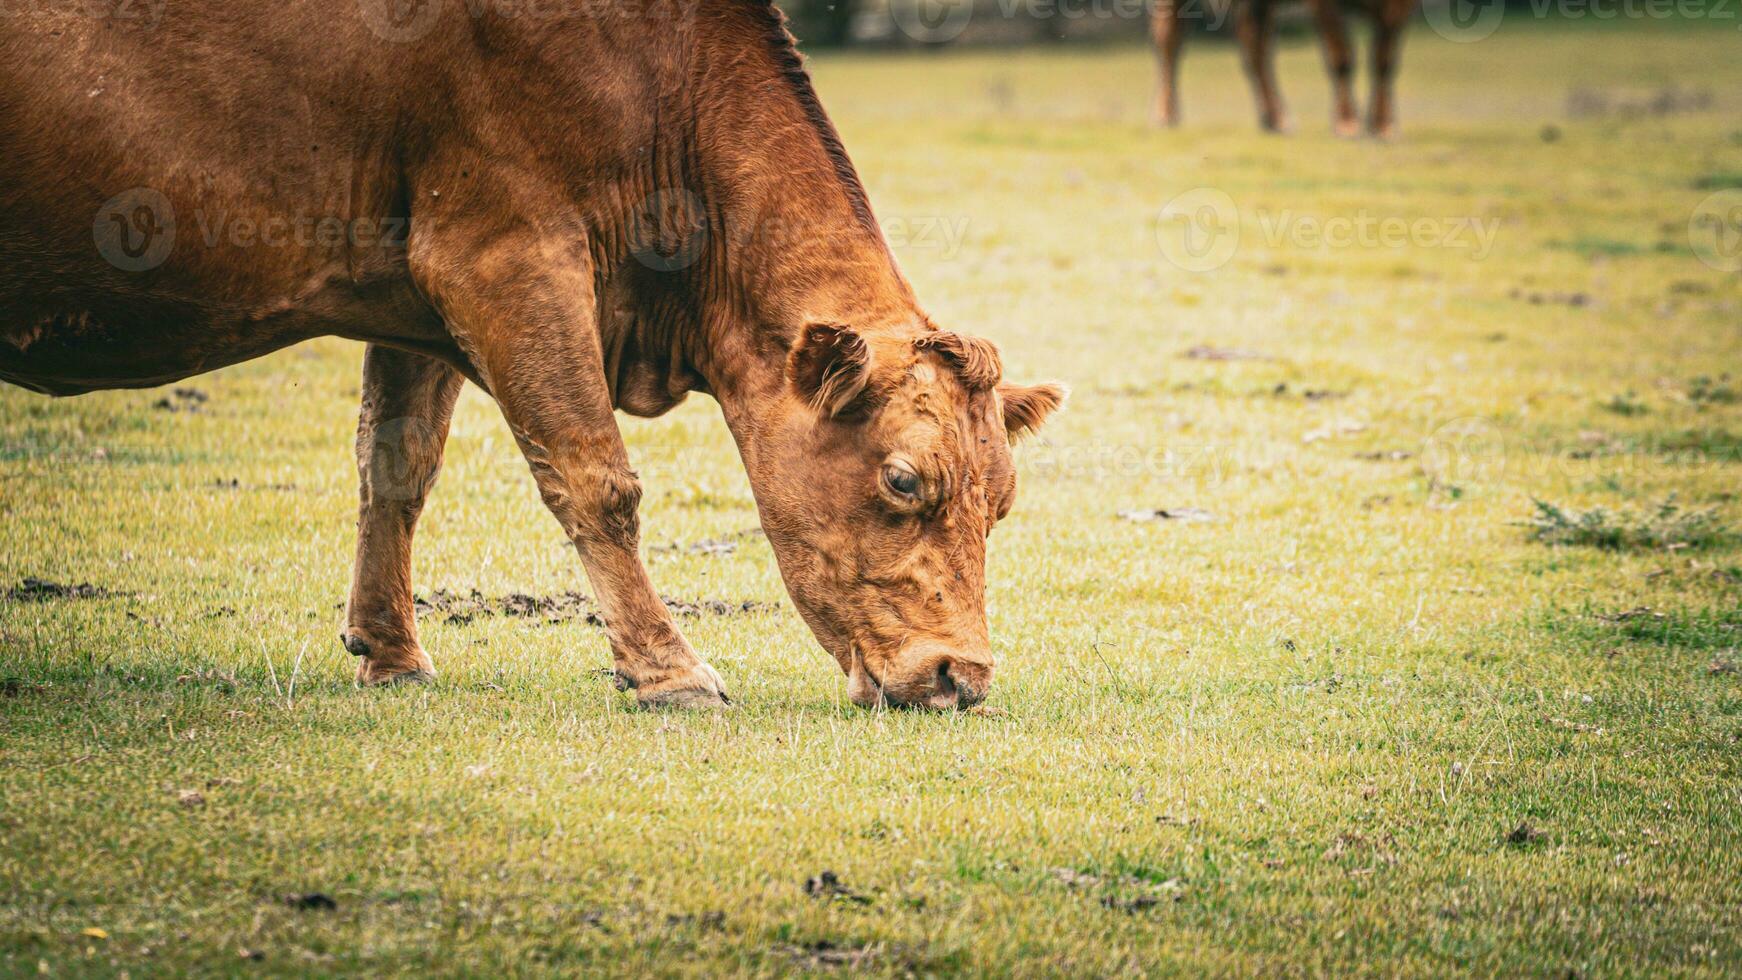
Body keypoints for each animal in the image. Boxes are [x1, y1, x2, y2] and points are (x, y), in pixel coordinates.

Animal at [0, 0, 1059, 706]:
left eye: (1002, 500)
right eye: (903, 481)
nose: (962, 674)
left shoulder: (411, 289)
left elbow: (396, 467)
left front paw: (391, 652)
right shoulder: (508, 256)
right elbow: (599, 480)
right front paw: (667, 670)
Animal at [1149, 0, 1421, 138]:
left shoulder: (1400, 6)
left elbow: (1384, 60)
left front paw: (1383, 125)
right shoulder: (1325, 4)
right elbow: (1341, 55)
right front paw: (1347, 122)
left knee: (1255, 45)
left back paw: (1276, 119)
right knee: (1168, 38)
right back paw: (1166, 114)